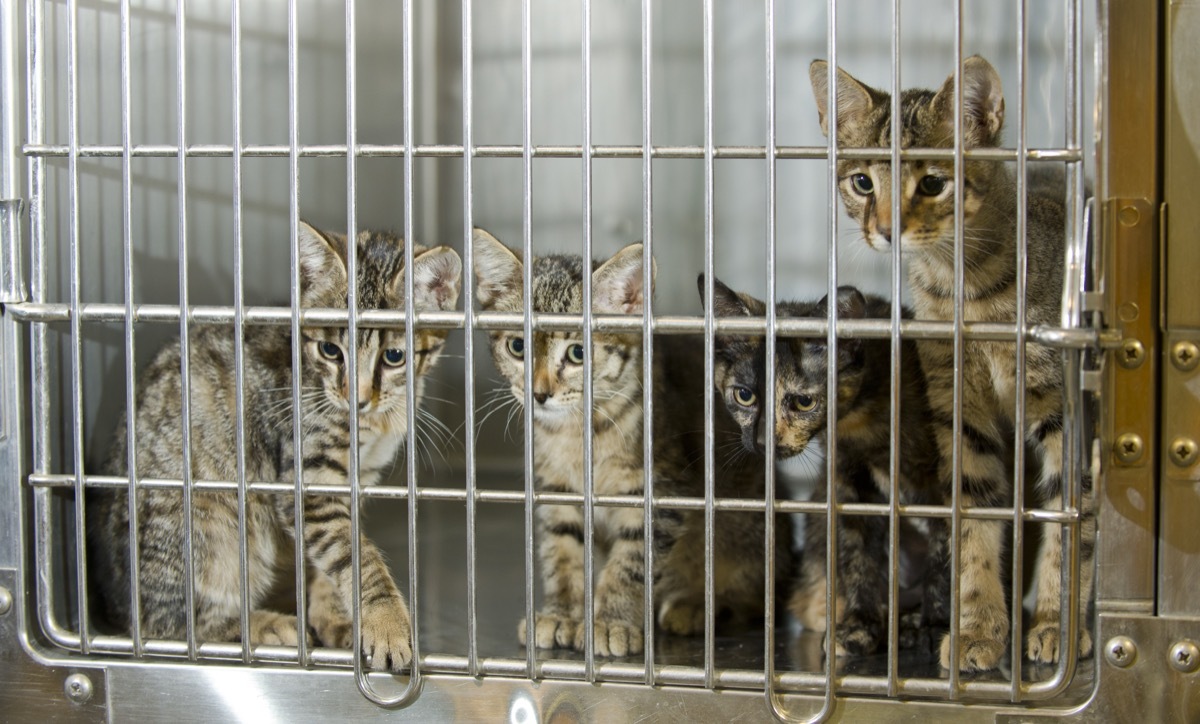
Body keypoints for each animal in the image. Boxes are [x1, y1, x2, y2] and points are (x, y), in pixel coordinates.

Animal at [87, 222, 463, 672]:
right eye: (330, 350)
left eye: (394, 356)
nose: (355, 398)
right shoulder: (308, 477)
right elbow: (352, 554)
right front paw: (386, 621)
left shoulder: (353, 483)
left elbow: (329, 560)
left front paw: (338, 617)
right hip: (207, 528)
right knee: (173, 626)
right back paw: (264, 625)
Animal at [472, 230, 792, 657]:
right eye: (517, 347)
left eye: (578, 352)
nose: (539, 394)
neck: (579, 433)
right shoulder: (556, 490)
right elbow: (561, 553)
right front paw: (562, 614)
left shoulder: (658, 490)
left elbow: (633, 559)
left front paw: (612, 620)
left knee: (758, 601)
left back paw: (698, 607)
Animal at [700, 278, 945, 662]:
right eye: (744, 395)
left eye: (803, 402)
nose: (763, 441)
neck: (864, 424)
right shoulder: (849, 484)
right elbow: (859, 557)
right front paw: (859, 627)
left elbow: (946, 555)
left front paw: (938, 629)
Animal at [806, 56, 1099, 672]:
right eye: (862, 182)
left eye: (933, 183)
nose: (886, 229)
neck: (967, 292)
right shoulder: (958, 408)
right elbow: (972, 516)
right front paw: (979, 627)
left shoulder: (1063, 410)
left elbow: (1070, 514)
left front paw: (1055, 625)